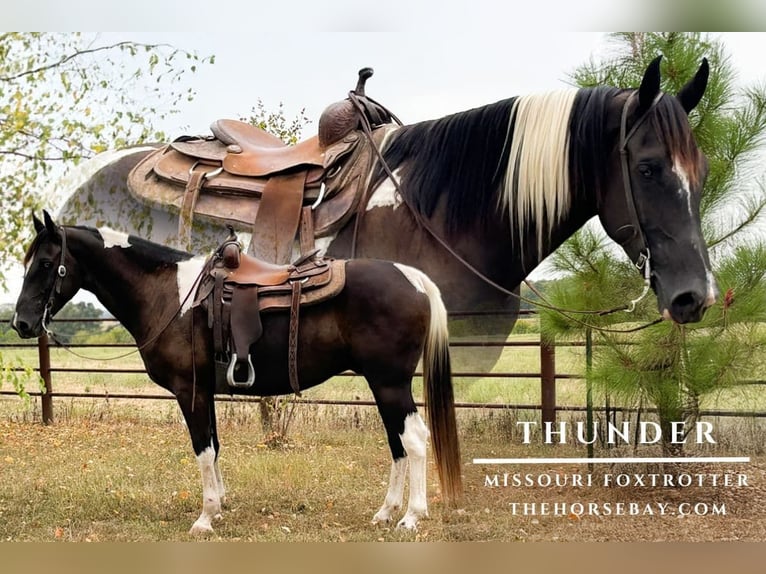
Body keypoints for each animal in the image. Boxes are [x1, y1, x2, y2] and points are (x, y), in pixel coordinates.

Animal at [11, 211, 462, 534]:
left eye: (47, 263)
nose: (21, 323)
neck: (168, 295)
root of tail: (413, 277)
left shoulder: (190, 392)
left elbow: (203, 450)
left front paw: (205, 517)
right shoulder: (205, 393)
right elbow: (214, 447)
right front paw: (220, 506)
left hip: (389, 384)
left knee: (414, 441)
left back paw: (411, 517)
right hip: (382, 385)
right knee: (398, 444)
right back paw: (386, 513)